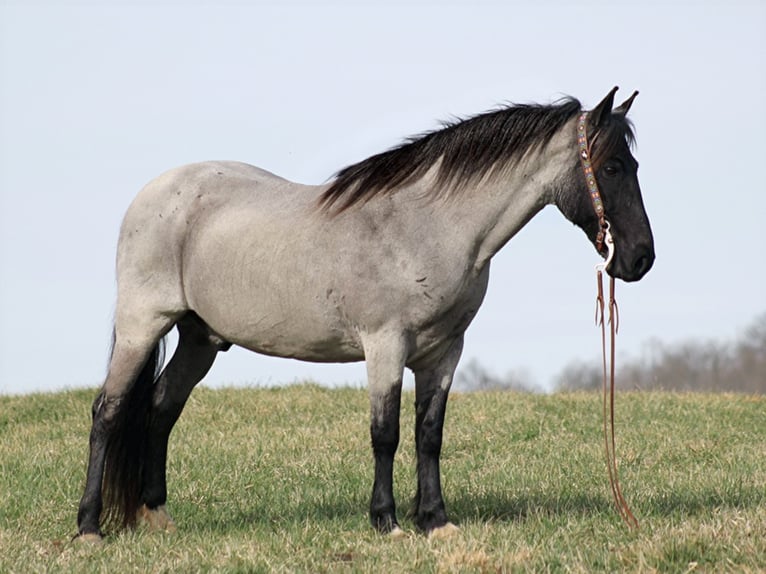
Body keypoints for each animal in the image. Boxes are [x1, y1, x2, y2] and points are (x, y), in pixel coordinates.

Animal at [76, 88, 656, 544]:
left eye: (634, 166)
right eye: (611, 167)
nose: (640, 259)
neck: (426, 227)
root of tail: (156, 191)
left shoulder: (444, 352)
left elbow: (429, 433)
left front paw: (435, 521)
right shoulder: (385, 346)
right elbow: (386, 433)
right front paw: (387, 522)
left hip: (201, 338)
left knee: (161, 406)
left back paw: (156, 515)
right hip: (141, 326)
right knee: (108, 411)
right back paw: (88, 528)